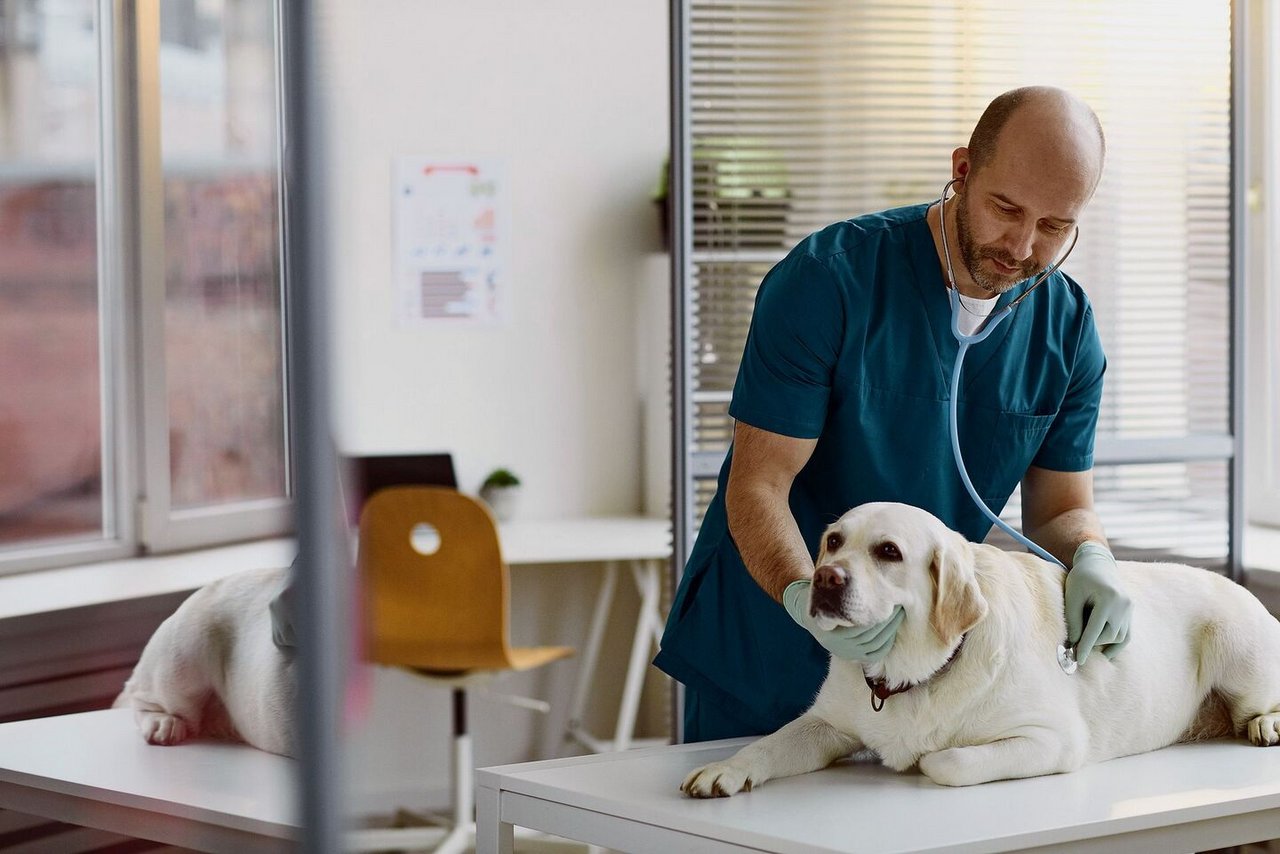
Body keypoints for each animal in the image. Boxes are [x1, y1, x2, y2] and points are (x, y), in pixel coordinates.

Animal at [686, 501, 1280, 793]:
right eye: (833, 542)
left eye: (888, 551)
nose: (826, 580)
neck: (911, 675)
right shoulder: (825, 723)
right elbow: (769, 744)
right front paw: (725, 770)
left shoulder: (1053, 740)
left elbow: (945, 760)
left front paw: (922, 757)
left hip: (1237, 644)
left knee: (1258, 702)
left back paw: (1265, 725)